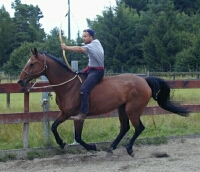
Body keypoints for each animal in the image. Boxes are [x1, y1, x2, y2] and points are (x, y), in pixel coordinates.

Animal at [17, 47, 189, 157]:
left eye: (32, 63)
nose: (20, 81)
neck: (69, 86)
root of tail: (144, 80)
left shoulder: (79, 117)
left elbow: (78, 137)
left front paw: (92, 147)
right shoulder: (65, 113)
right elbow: (53, 126)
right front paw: (62, 144)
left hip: (132, 110)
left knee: (139, 127)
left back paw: (128, 148)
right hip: (122, 109)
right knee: (125, 128)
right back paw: (111, 148)